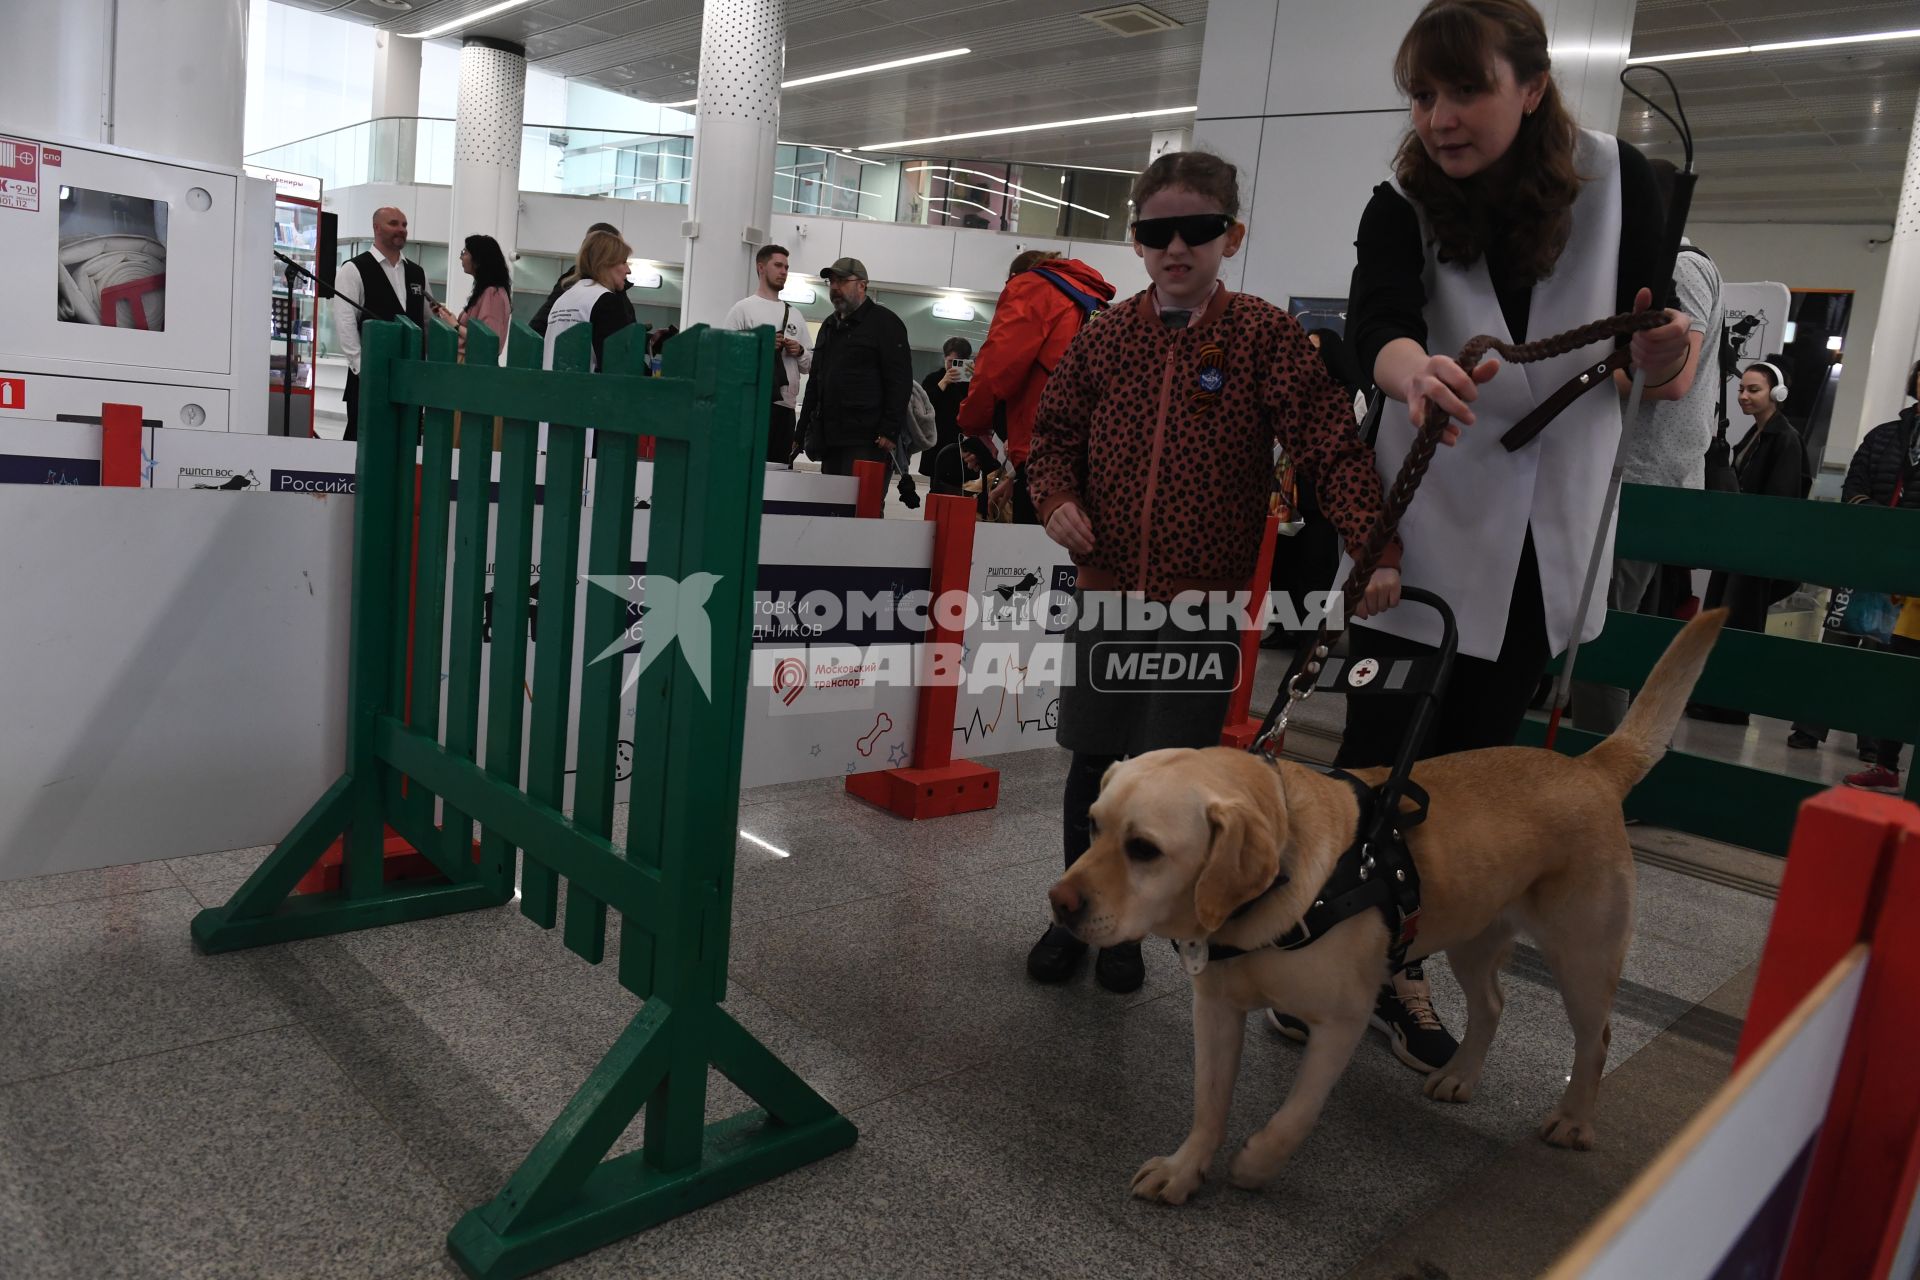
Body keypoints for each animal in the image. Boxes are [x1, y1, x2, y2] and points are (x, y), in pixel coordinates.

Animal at [1044, 610, 1735, 1205]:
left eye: (1144, 849)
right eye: (1092, 824)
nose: (1059, 901)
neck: (1276, 892)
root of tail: (1589, 767)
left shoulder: (1341, 1023)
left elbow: (1296, 1115)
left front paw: (1257, 1164)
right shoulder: (1214, 1010)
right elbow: (1208, 1103)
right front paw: (1186, 1170)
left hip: (1583, 957)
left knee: (1597, 1038)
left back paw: (1573, 1120)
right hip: (1474, 935)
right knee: (1492, 1004)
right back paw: (1461, 1074)